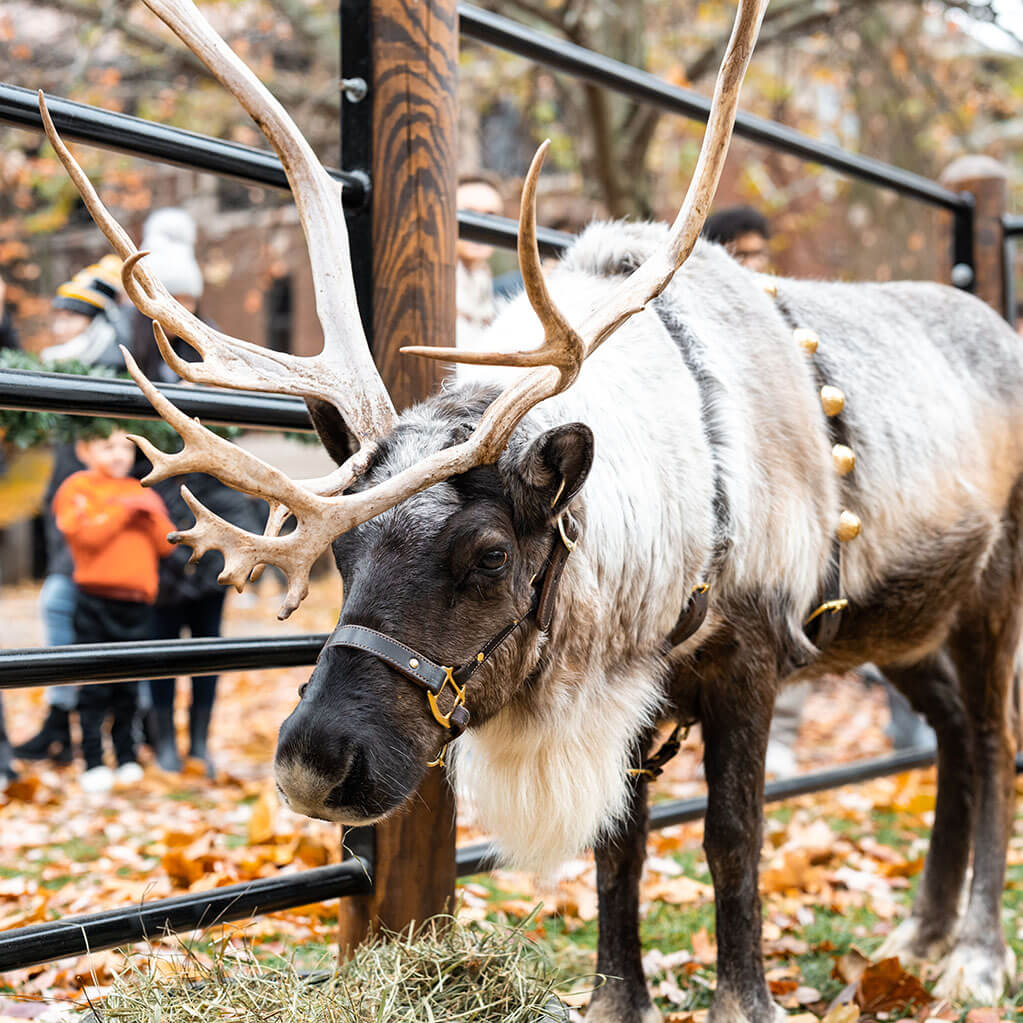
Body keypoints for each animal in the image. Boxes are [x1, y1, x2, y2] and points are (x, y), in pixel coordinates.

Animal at [40, 0, 1022, 1019]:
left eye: (488, 554)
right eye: (344, 554)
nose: (313, 762)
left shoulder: (750, 656)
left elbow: (731, 838)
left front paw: (742, 1000)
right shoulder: (635, 692)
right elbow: (618, 845)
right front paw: (614, 1000)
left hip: (992, 589)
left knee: (993, 743)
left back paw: (976, 954)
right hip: (900, 623)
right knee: (953, 733)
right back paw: (919, 931)